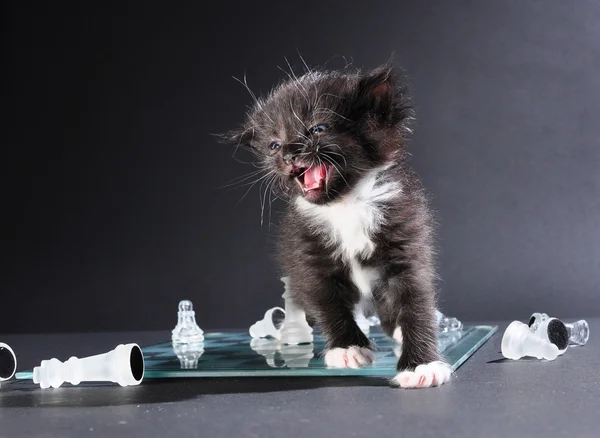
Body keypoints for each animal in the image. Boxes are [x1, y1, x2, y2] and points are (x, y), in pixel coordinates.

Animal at [219, 62, 450, 390]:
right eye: (274, 144)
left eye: (317, 129)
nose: (288, 154)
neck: (345, 205)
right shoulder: (308, 255)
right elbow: (327, 302)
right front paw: (347, 348)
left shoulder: (406, 244)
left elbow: (416, 302)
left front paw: (422, 365)